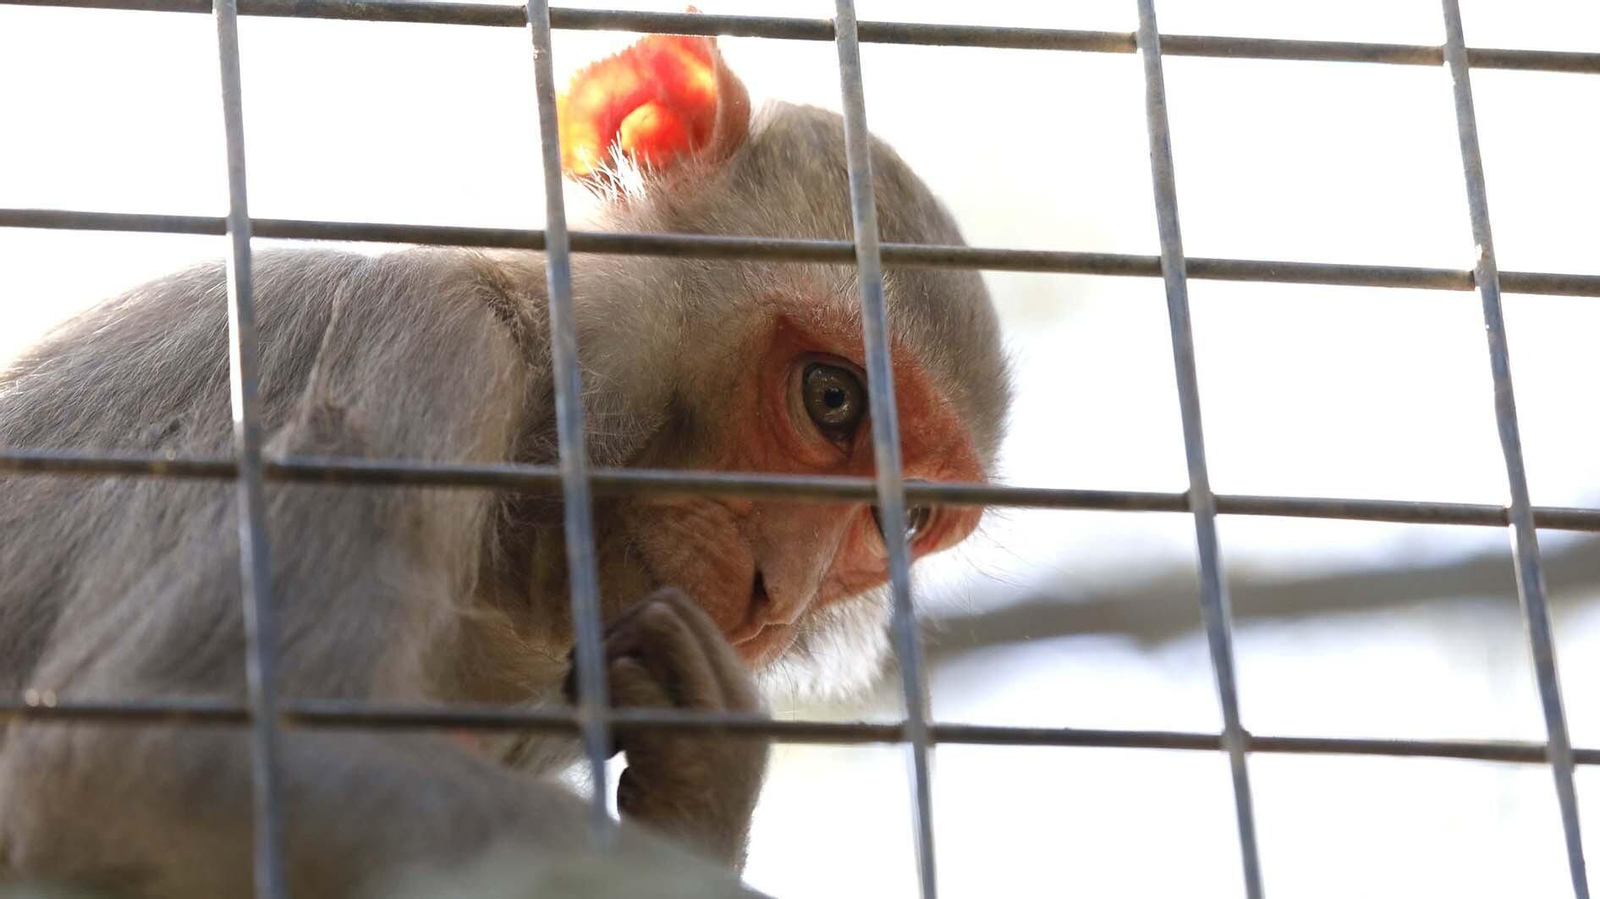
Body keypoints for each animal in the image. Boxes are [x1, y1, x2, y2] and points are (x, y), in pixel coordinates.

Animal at [0, 28, 1010, 899]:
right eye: (833, 399)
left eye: (901, 518)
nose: (777, 593)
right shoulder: (410, 340)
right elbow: (159, 755)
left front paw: (700, 782)